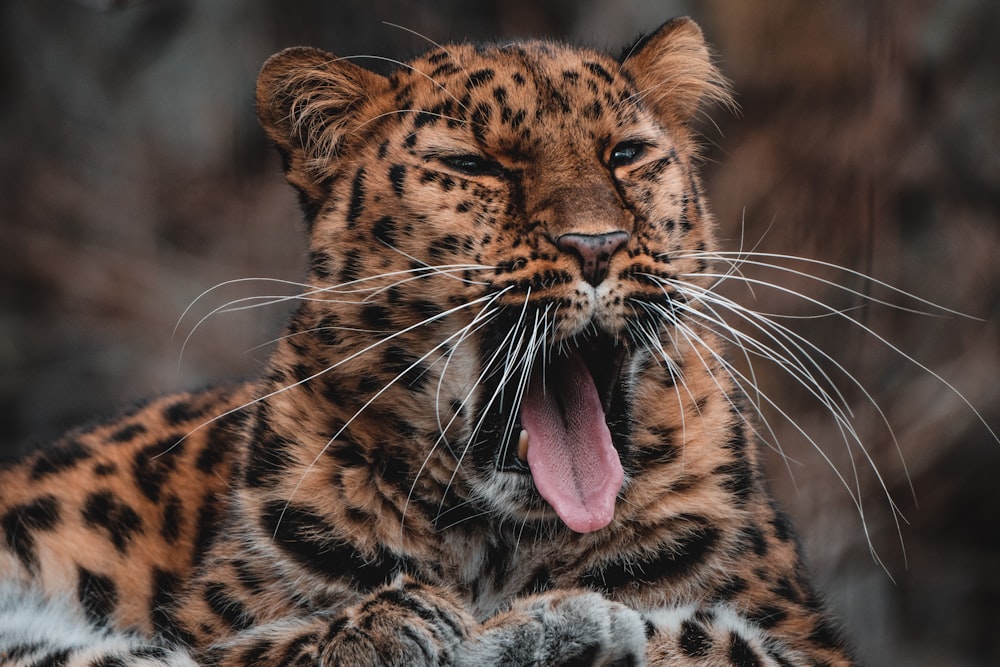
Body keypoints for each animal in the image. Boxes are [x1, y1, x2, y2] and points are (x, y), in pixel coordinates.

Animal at [1, 18, 860, 664]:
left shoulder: (801, 638)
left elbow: (719, 640)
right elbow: (249, 647)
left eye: (625, 154)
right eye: (474, 165)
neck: (503, 545)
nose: (597, 245)